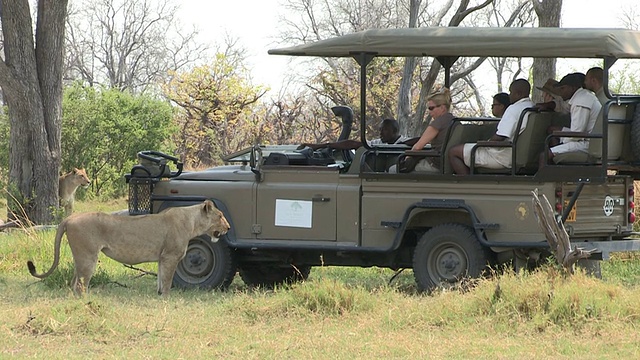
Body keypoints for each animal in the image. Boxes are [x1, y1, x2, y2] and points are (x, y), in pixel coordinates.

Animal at [28, 200, 232, 296]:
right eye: (221, 215)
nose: (229, 227)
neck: (192, 221)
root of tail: (69, 218)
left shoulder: (162, 258)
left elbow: (160, 279)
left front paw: (159, 296)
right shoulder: (170, 256)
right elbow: (167, 281)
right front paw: (166, 299)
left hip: (80, 258)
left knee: (73, 283)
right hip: (88, 257)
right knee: (80, 284)